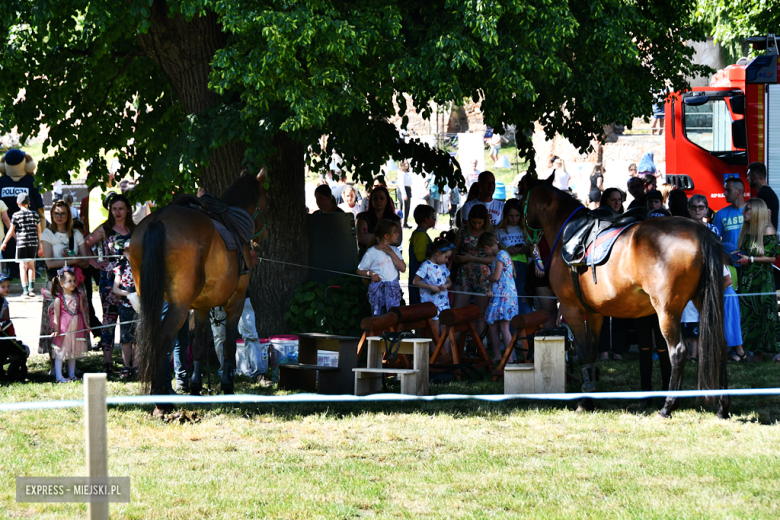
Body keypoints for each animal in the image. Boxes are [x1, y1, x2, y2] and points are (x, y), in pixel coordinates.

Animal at [130, 169, 268, 412]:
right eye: (266, 201)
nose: (264, 239)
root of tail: (157, 220)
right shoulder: (236, 301)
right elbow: (229, 346)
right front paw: (227, 385)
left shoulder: (202, 307)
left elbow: (199, 346)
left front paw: (195, 386)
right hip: (179, 307)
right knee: (162, 340)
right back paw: (160, 399)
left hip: (151, 301)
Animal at [520, 179, 728, 418]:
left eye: (519, 198)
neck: (568, 229)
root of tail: (701, 231)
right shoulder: (594, 313)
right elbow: (591, 352)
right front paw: (590, 396)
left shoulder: (570, 308)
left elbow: (582, 352)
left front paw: (584, 400)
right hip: (704, 303)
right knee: (719, 346)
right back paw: (722, 406)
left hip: (667, 310)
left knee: (678, 351)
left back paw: (667, 406)